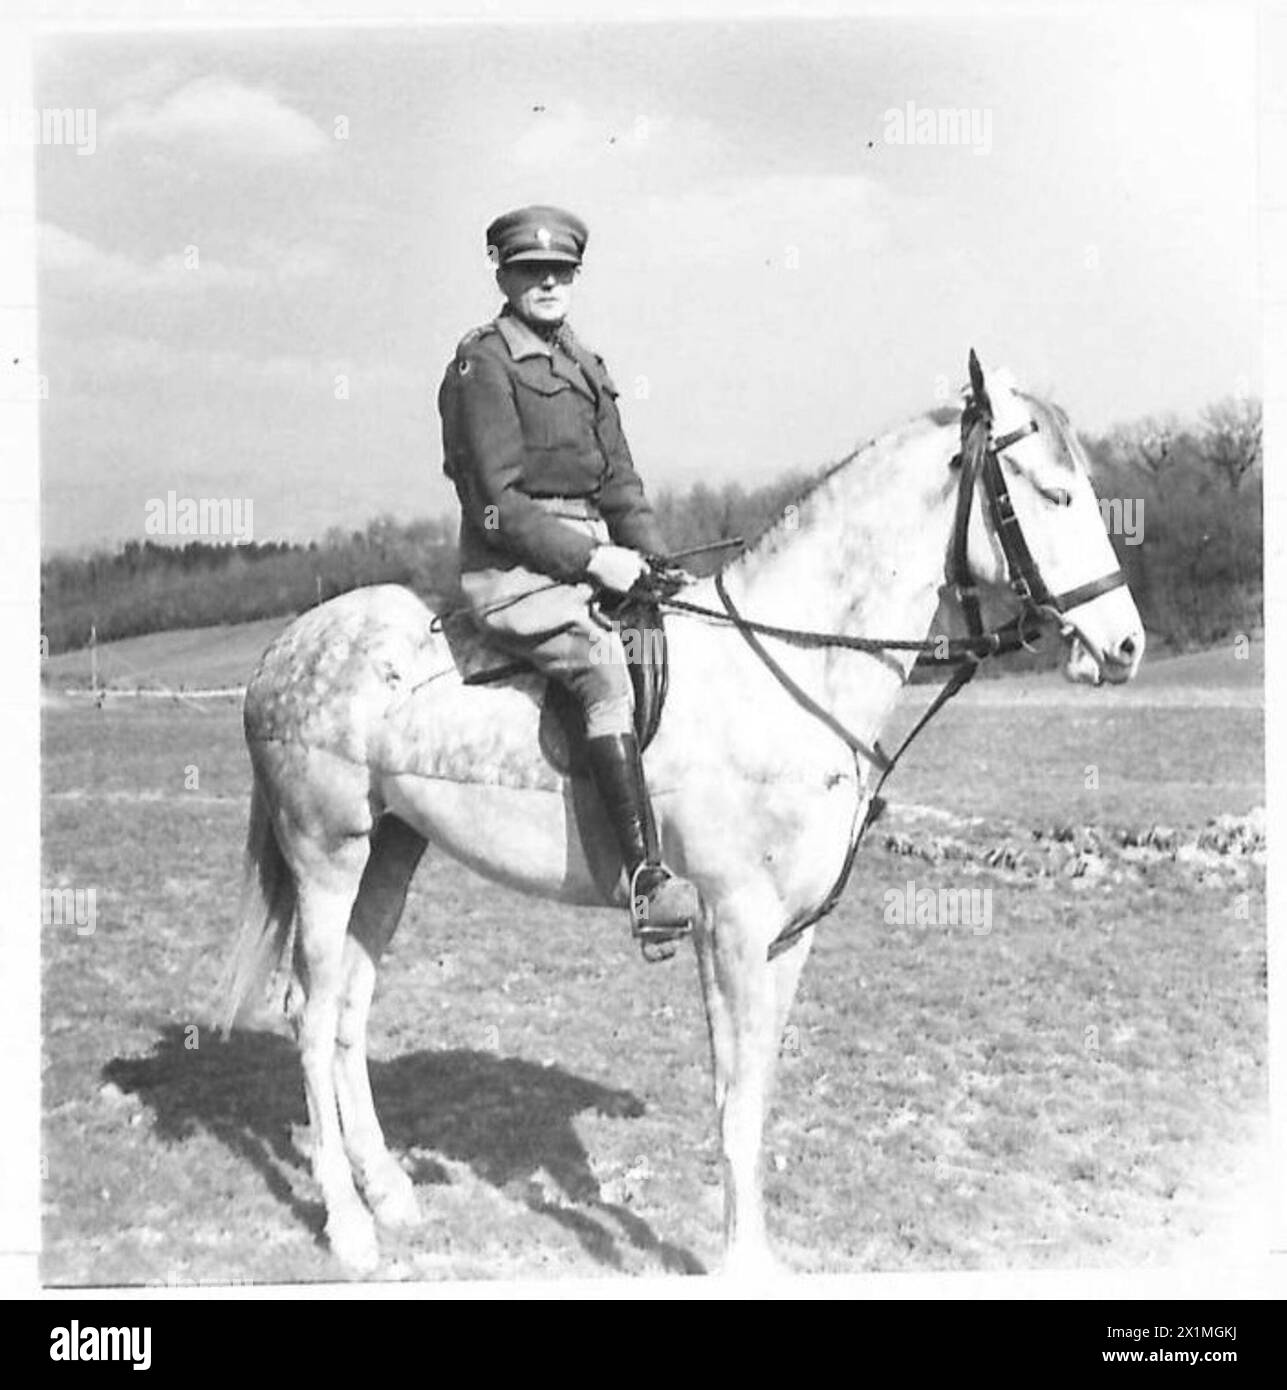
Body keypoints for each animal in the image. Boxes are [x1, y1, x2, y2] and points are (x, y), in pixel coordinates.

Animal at [222, 355, 1150, 1273]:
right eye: (1053, 494)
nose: (1124, 645)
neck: (791, 666)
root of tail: (284, 649)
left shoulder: (788, 937)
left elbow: (756, 1090)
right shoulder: (729, 927)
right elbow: (733, 1100)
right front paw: (741, 1263)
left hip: (391, 852)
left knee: (350, 1008)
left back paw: (388, 1193)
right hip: (327, 856)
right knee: (310, 1013)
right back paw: (348, 1225)